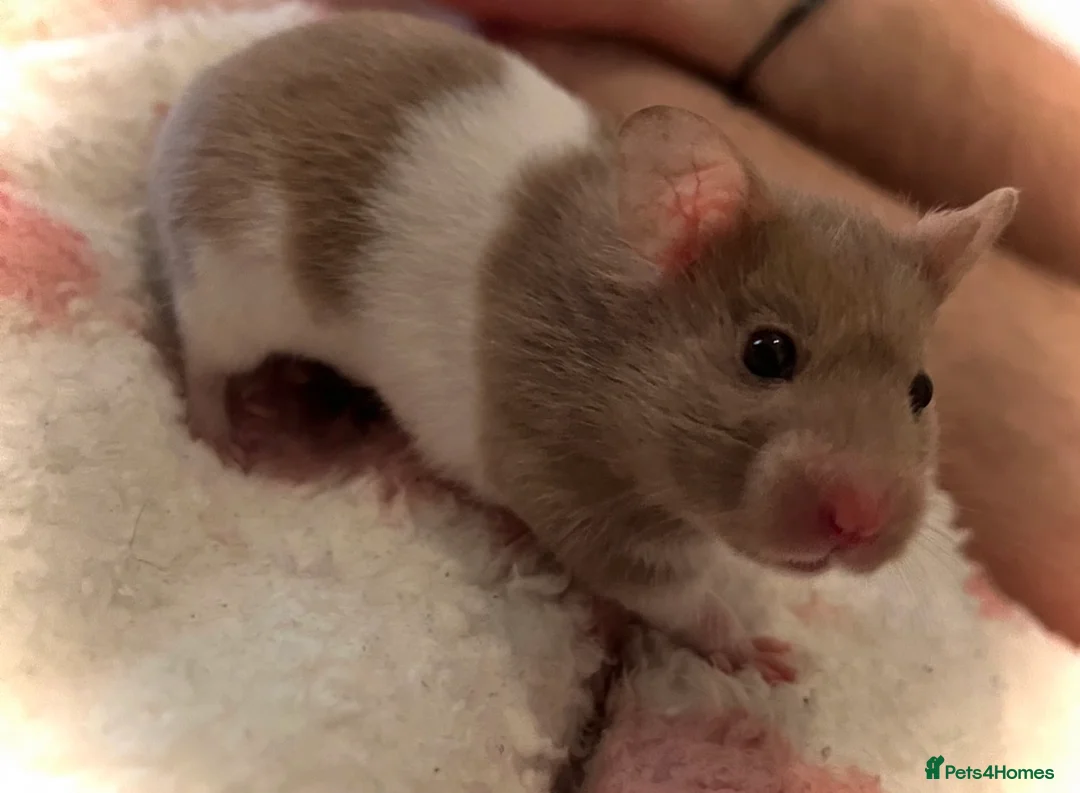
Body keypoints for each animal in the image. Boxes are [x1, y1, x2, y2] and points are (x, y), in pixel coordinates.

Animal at [146, 10, 1018, 670]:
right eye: (767, 353)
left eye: (921, 390)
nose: (863, 521)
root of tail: (206, 84)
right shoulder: (575, 489)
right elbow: (668, 591)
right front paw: (759, 654)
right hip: (225, 281)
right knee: (202, 357)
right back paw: (231, 437)